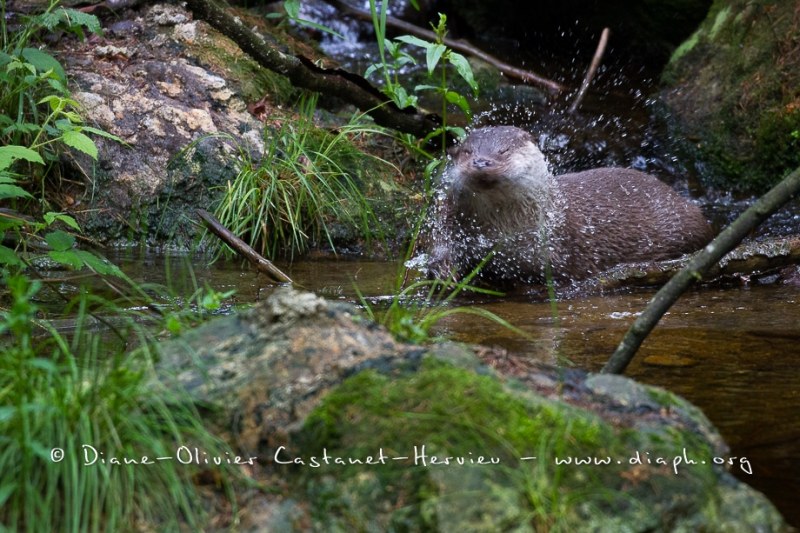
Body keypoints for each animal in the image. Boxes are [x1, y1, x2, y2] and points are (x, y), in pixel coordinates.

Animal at [432, 125, 712, 284]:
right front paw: (444, 274)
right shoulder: (452, 223)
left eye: (504, 151)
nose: (481, 161)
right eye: (467, 151)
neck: (502, 231)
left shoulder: (559, 249)